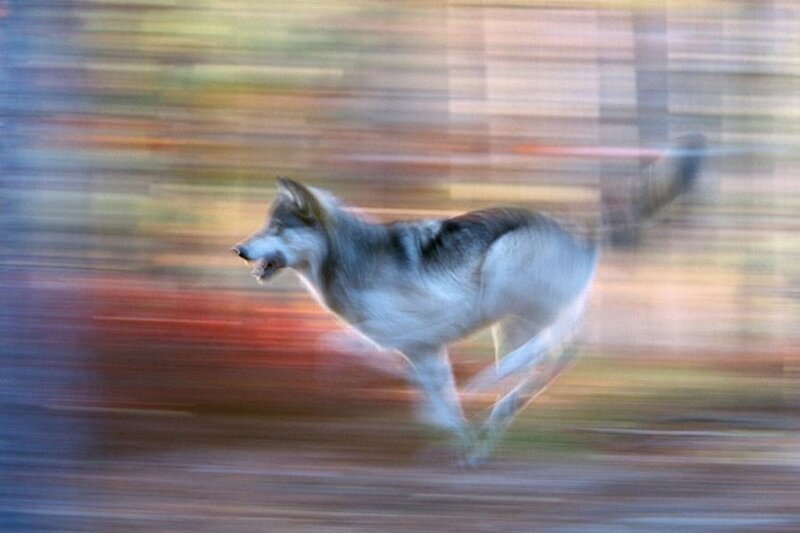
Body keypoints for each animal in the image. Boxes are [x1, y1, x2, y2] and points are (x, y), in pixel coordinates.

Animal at [232, 134, 705, 465]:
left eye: (276, 228)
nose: (238, 249)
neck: (351, 258)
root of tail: (578, 227)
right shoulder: (418, 346)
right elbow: (362, 358)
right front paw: (463, 441)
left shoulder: (423, 336)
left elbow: (423, 388)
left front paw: (451, 424)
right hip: (508, 323)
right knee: (546, 363)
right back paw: (498, 409)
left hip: (504, 276)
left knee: (561, 341)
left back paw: (489, 383)